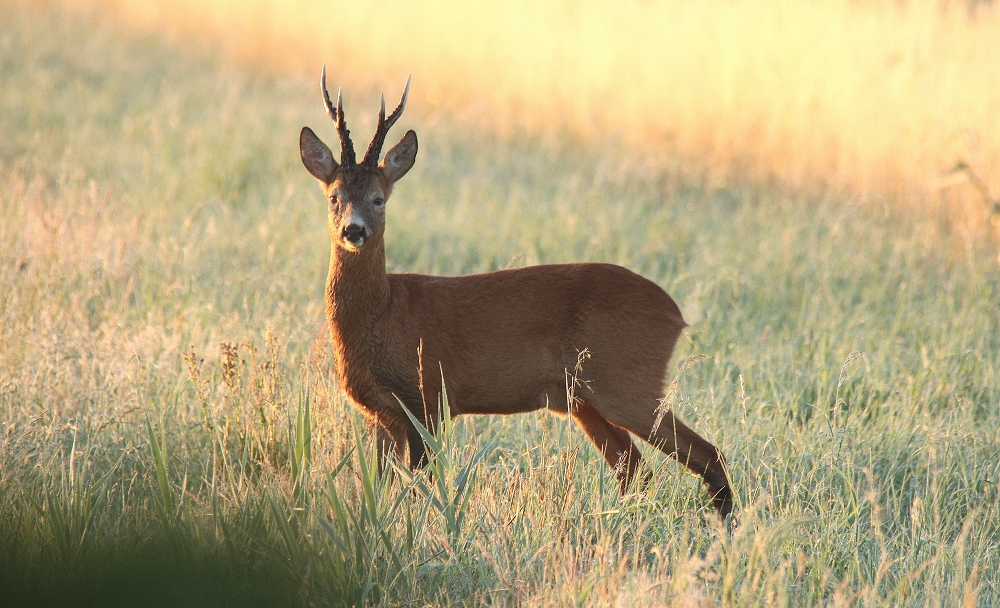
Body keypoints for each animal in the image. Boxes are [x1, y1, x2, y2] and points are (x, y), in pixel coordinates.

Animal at [296, 69, 736, 520]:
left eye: (379, 199)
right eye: (334, 197)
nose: (354, 230)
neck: (380, 315)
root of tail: (675, 315)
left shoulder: (427, 396)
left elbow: (421, 486)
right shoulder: (380, 413)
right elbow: (382, 488)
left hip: (627, 382)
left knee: (707, 454)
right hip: (584, 398)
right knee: (636, 470)